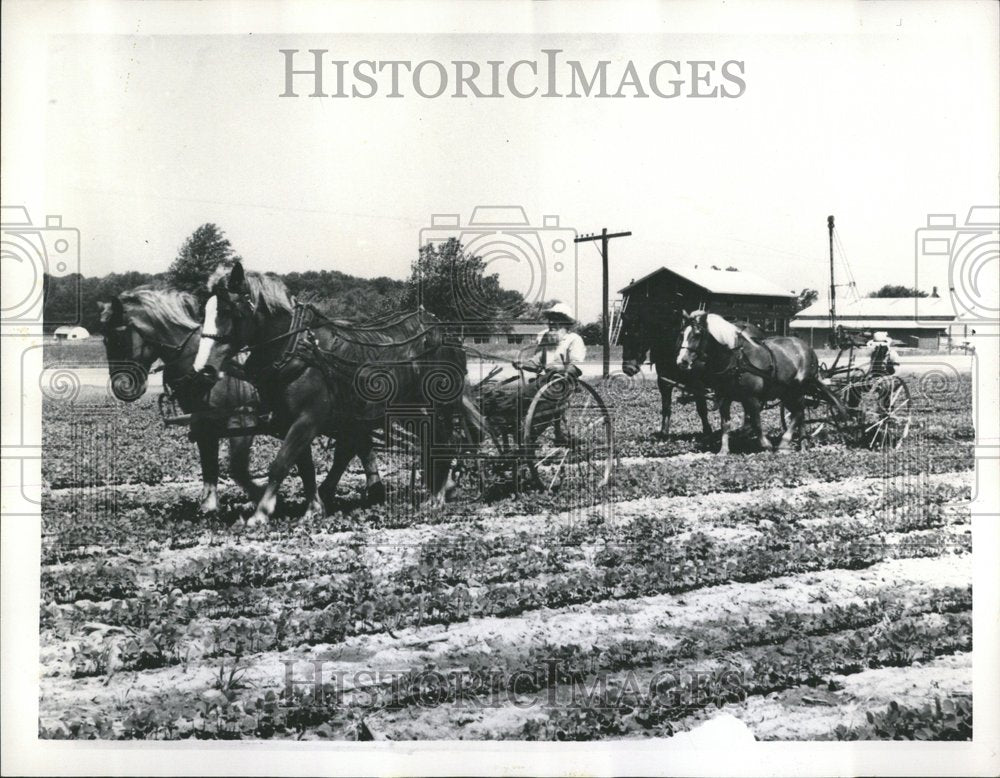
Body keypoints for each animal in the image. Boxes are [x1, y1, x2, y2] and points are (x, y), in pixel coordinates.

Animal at [97, 284, 266, 510]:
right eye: (105, 341)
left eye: (117, 339)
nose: (121, 387)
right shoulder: (202, 423)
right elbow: (209, 464)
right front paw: (209, 506)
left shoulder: (242, 422)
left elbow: (237, 470)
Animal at [201, 262, 470, 528]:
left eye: (228, 310)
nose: (206, 368)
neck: (296, 347)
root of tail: (441, 329)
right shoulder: (292, 421)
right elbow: (305, 467)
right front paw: (313, 508)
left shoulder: (308, 419)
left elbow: (281, 463)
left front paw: (261, 512)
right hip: (406, 410)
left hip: (436, 407)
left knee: (443, 441)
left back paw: (436, 497)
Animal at [616, 300, 764, 440]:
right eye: (623, 337)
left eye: (637, 335)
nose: (628, 368)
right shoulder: (664, 382)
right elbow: (666, 407)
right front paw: (664, 433)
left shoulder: (697, 384)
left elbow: (701, 409)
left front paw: (707, 432)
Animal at [672, 310, 844, 452]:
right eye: (681, 333)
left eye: (697, 334)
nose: (682, 362)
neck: (735, 360)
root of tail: (808, 349)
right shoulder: (724, 398)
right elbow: (725, 424)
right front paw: (723, 450)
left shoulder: (752, 398)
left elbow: (756, 423)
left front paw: (766, 445)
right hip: (786, 393)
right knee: (800, 414)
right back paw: (803, 445)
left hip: (797, 390)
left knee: (798, 413)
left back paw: (784, 444)